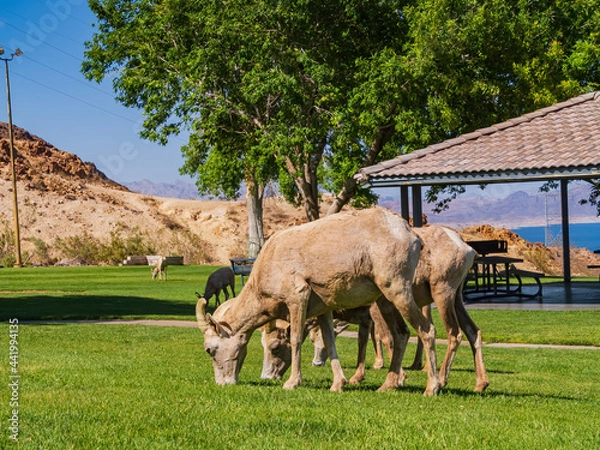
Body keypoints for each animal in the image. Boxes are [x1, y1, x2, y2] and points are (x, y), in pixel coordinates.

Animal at [197, 207, 440, 394]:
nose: (224, 383)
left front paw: (292, 383)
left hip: (397, 291)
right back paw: (387, 386)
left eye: (210, 350)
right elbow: (330, 342)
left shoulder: (298, 297)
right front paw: (338, 385)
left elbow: (296, 339)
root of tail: (411, 235)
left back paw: (432, 388)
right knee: (401, 334)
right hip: (385, 300)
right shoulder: (324, 310)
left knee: (426, 330)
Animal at [262, 227, 488, 392]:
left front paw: (397, 377)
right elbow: (364, 340)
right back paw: (480, 384)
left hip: (442, 293)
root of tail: (467, 249)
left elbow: (386, 337)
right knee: (472, 331)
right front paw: (357, 377)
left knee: (453, 333)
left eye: (275, 347)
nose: (267, 376)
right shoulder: (365, 318)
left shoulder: (375, 309)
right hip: (456, 298)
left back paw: (439, 380)